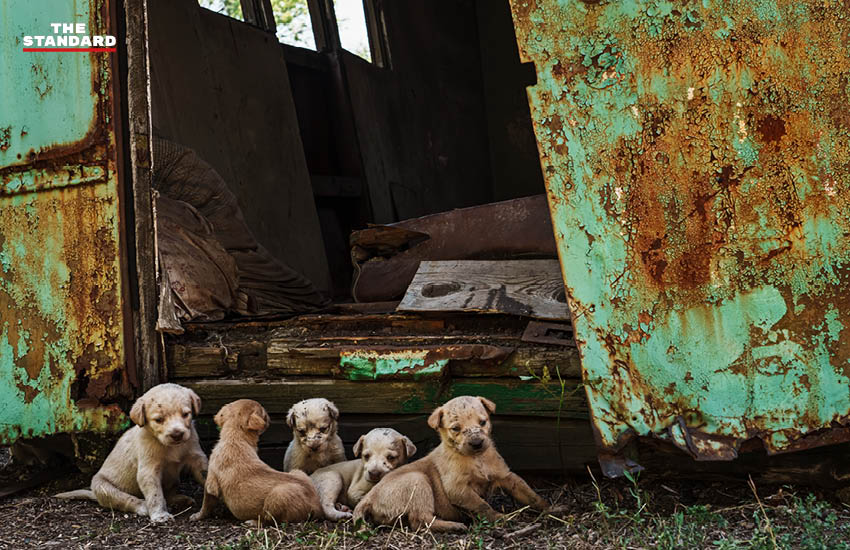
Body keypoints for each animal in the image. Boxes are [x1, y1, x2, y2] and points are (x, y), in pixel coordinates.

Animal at [55, 382, 207, 524]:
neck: (170, 447)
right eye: (159, 420)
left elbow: (204, 472)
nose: (177, 434)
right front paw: (160, 515)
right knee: (128, 500)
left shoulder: (196, 456)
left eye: (185, 414)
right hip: (103, 487)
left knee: (168, 496)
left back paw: (180, 499)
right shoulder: (148, 471)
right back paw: (143, 507)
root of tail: (94, 494)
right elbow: (155, 495)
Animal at [191, 402, 322, 528]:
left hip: (278, 495)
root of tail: (317, 507)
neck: (236, 438)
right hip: (297, 472)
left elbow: (205, 505)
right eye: (264, 415)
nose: (269, 418)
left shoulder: (210, 484)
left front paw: (197, 516)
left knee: (272, 521)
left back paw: (253, 522)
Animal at [352, 398, 556, 532]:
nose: (477, 443)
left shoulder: (506, 476)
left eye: (483, 422)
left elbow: (530, 494)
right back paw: (454, 526)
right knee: (421, 521)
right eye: (456, 428)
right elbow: (482, 505)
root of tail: (368, 497)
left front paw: (551, 509)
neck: (476, 459)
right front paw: (499, 517)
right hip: (417, 481)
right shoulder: (457, 489)